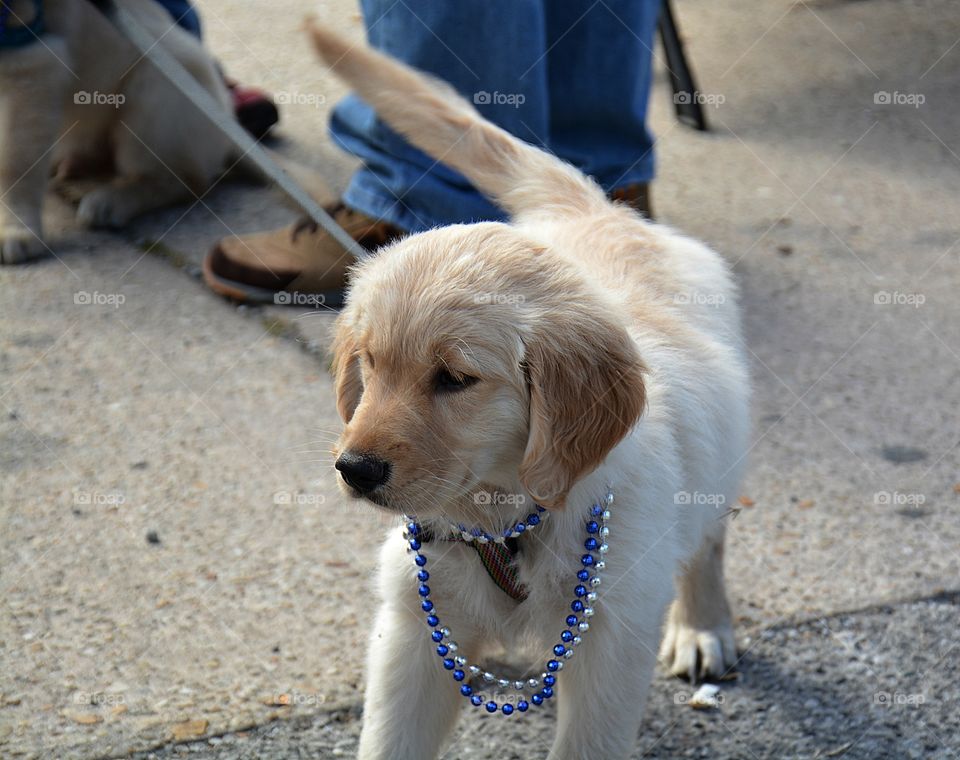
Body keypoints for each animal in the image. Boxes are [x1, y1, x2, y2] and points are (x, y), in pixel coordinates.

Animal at [0, 0, 232, 264]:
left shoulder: (30, 64)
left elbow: (14, 166)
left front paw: (14, 230)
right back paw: (73, 164)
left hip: (154, 94)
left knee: (184, 181)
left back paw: (109, 201)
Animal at [316, 19, 752, 760]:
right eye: (370, 364)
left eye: (455, 379)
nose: (355, 469)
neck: (506, 520)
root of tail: (601, 210)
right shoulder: (412, 632)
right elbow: (388, 737)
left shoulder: (612, 640)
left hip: (720, 455)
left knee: (709, 543)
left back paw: (703, 625)